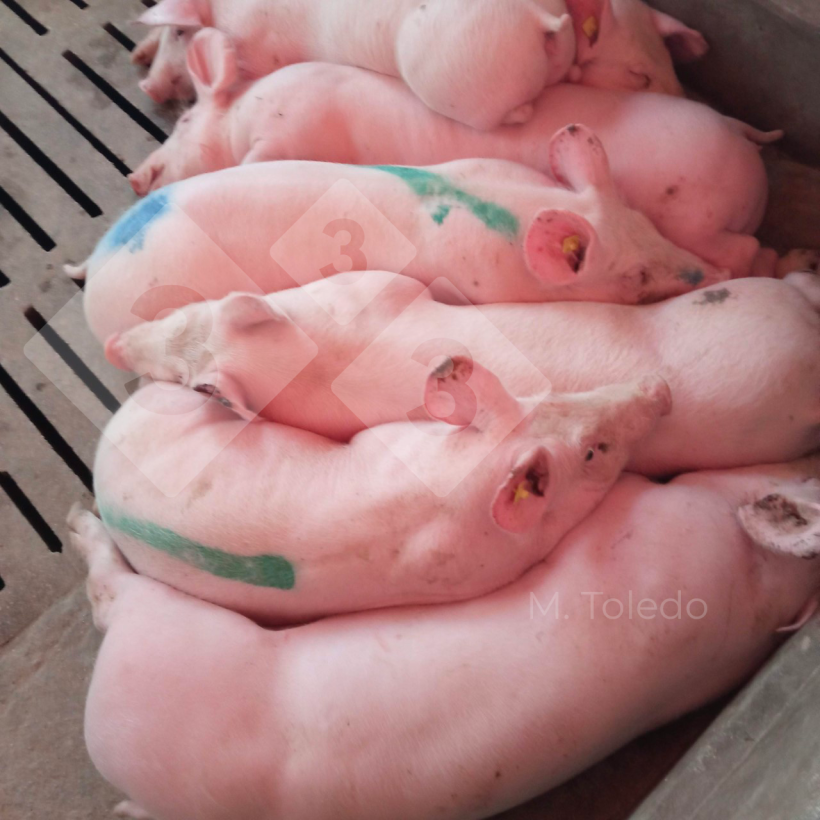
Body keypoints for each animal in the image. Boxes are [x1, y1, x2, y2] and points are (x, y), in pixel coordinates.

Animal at [125, 47, 777, 278]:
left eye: (184, 122)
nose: (134, 176)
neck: (245, 116)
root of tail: (740, 135)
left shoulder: (292, 133)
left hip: (697, 214)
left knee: (744, 250)